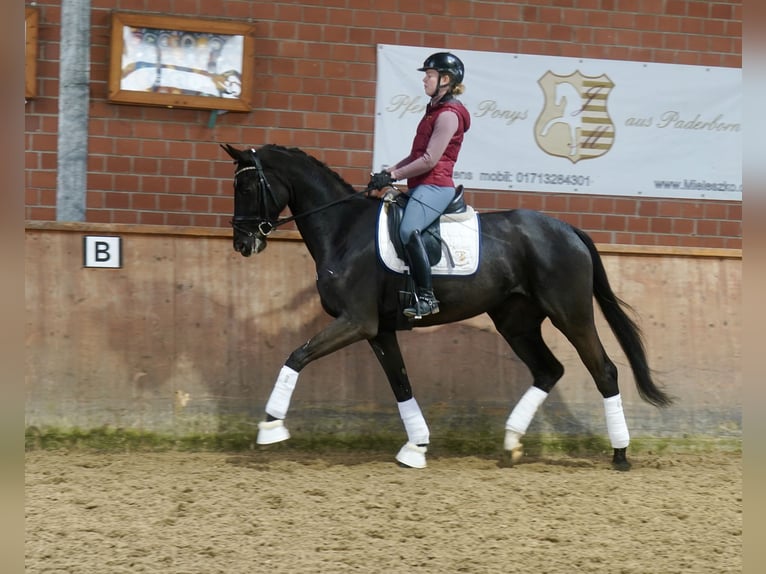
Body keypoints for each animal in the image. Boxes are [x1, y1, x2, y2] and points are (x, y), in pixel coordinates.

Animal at [222, 144, 672, 472]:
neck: (343, 231)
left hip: (570, 314)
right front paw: (416, 447)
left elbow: (296, 356)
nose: (243, 243)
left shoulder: (357, 322)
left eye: (246, 188)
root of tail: (568, 229)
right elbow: (401, 385)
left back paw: (620, 454)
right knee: (549, 370)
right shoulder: (379, 330)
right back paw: (511, 443)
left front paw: (270, 427)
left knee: (604, 370)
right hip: (516, 321)